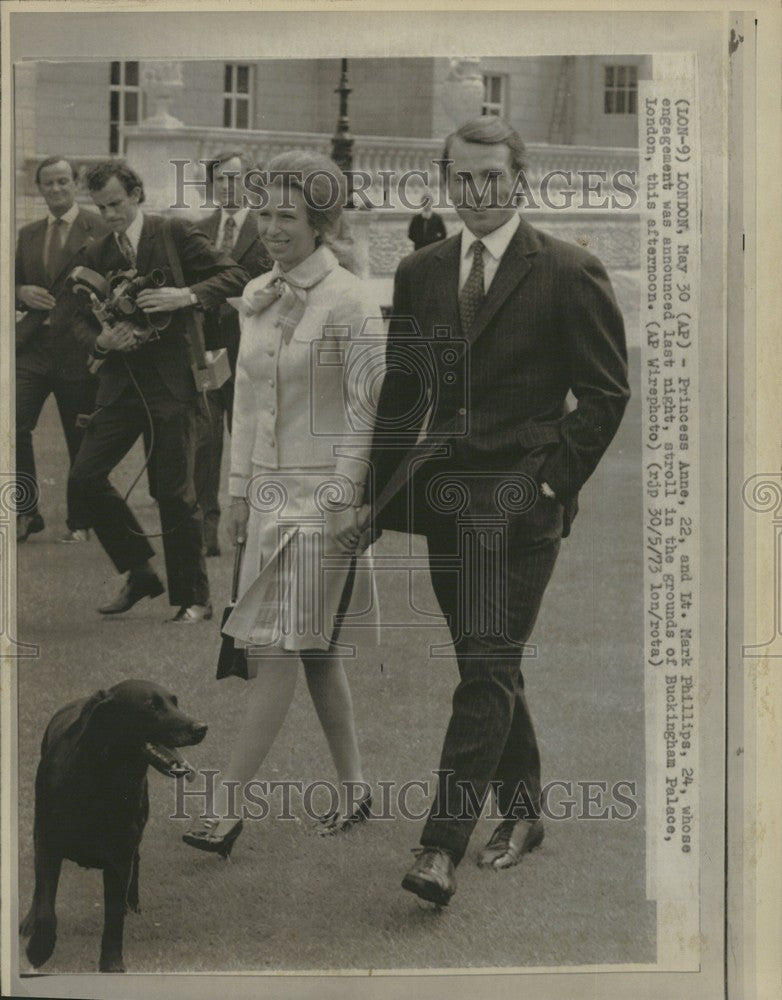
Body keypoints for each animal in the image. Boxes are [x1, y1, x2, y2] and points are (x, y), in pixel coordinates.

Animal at [19, 676, 207, 972]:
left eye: (175, 702)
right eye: (152, 706)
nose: (201, 727)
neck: (104, 777)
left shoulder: (120, 854)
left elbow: (114, 917)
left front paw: (111, 963)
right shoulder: (49, 843)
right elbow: (46, 905)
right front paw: (39, 949)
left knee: (136, 863)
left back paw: (133, 903)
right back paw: (29, 922)